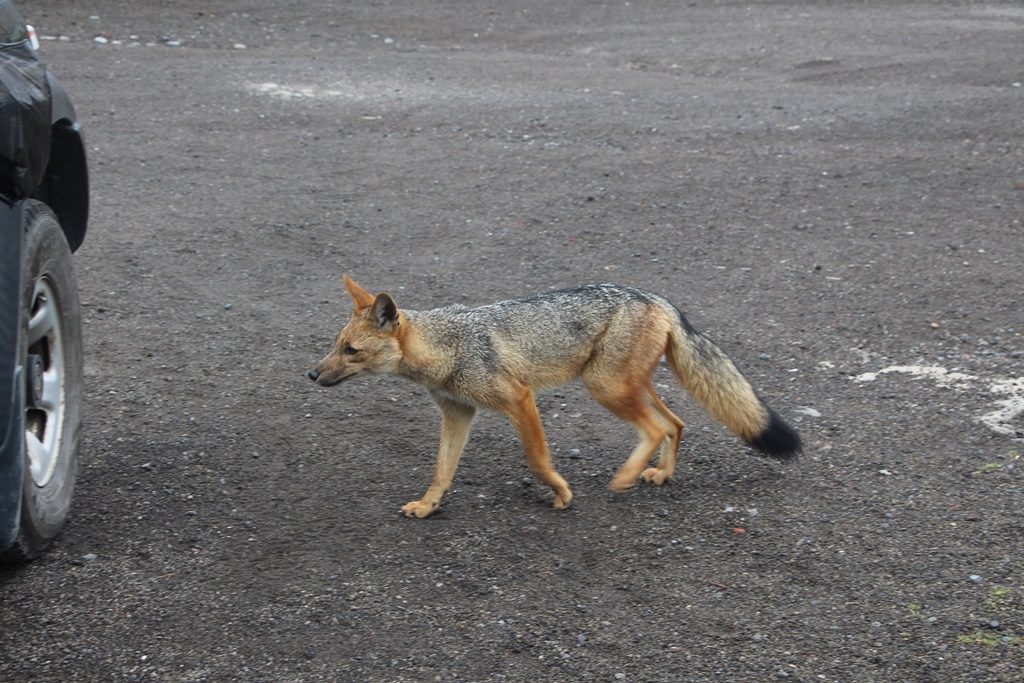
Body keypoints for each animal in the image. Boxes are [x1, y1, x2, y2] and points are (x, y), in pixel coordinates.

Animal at [305, 274, 798, 518]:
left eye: (351, 351)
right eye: (335, 345)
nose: (311, 373)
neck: (448, 345)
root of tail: (656, 297)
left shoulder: (519, 400)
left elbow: (537, 460)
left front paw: (560, 492)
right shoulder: (458, 414)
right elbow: (441, 471)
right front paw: (428, 506)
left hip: (604, 387)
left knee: (656, 428)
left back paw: (623, 478)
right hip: (625, 387)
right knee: (675, 423)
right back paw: (660, 474)